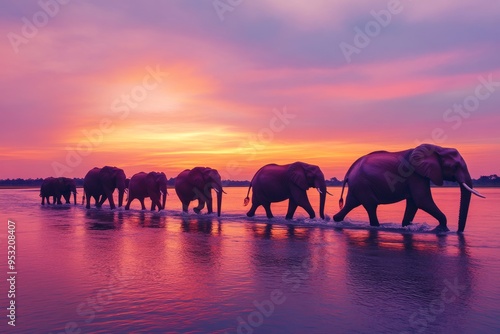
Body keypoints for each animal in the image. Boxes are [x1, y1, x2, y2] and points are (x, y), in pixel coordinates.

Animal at [332, 144, 484, 232]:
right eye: (455, 166)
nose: (458, 232)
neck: (438, 148)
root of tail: (348, 172)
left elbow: (414, 202)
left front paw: (406, 226)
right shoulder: (414, 174)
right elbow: (422, 200)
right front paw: (442, 229)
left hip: (358, 185)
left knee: (351, 203)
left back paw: (335, 220)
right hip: (362, 184)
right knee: (371, 205)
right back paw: (376, 226)